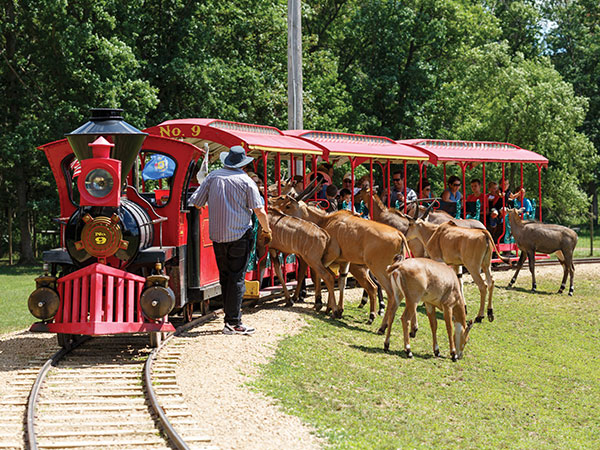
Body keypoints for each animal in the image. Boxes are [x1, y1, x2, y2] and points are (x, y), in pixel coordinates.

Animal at [270, 195, 408, 322]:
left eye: (288, 206)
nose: (277, 212)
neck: (325, 221)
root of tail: (399, 235)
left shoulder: (323, 258)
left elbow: (320, 276)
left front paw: (322, 305)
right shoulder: (343, 262)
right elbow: (341, 281)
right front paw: (336, 309)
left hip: (378, 269)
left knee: (379, 288)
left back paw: (374, 316)